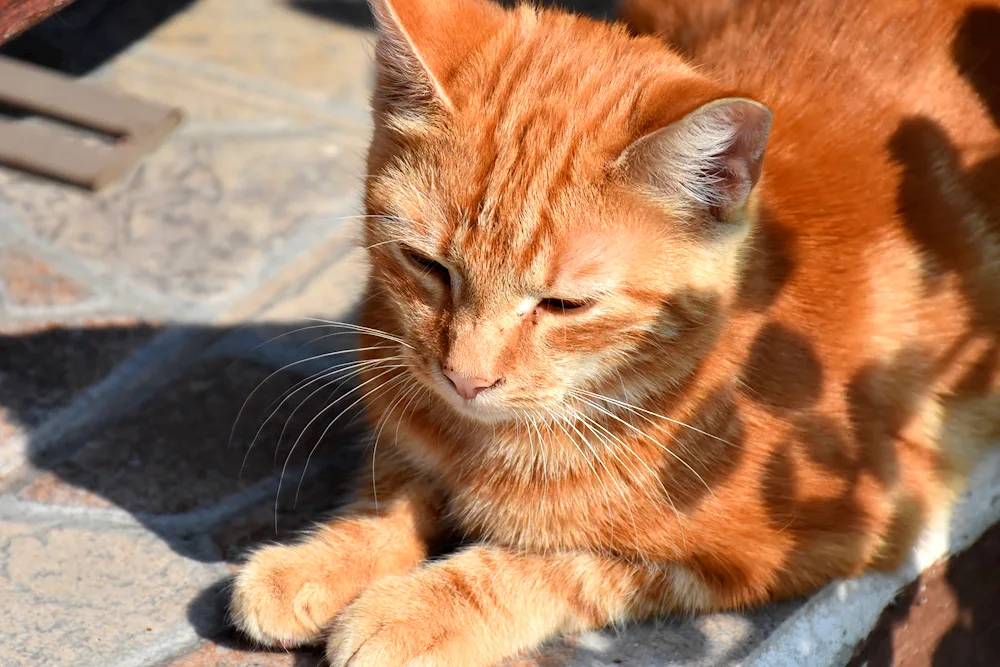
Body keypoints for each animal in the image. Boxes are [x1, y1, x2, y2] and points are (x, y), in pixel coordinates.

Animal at [230, 0, 1000, 664]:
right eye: (427, 266)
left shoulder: (831, 533)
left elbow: (554, 565)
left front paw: (416, 612)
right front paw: (317, 562)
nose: (465, 377)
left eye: (563, 305)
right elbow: (390, 490)